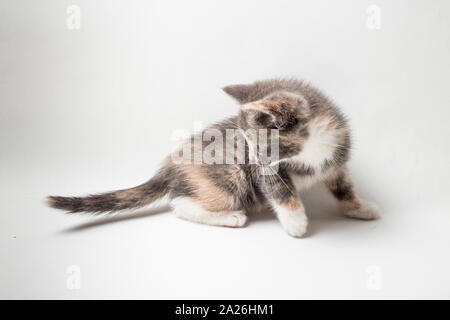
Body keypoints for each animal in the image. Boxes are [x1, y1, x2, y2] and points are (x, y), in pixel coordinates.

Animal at [47, 78, 378, 238]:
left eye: (260, 145)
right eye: (248, 145)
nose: (252, 157)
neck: (314, 147)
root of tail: (170, 164)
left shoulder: (336, 160)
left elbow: (345, 187)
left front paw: (361, 208)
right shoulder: (268, 172)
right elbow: (282, 193)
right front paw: (296, 224)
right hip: (229, 177)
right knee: (180, 205)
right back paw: (231, 217)